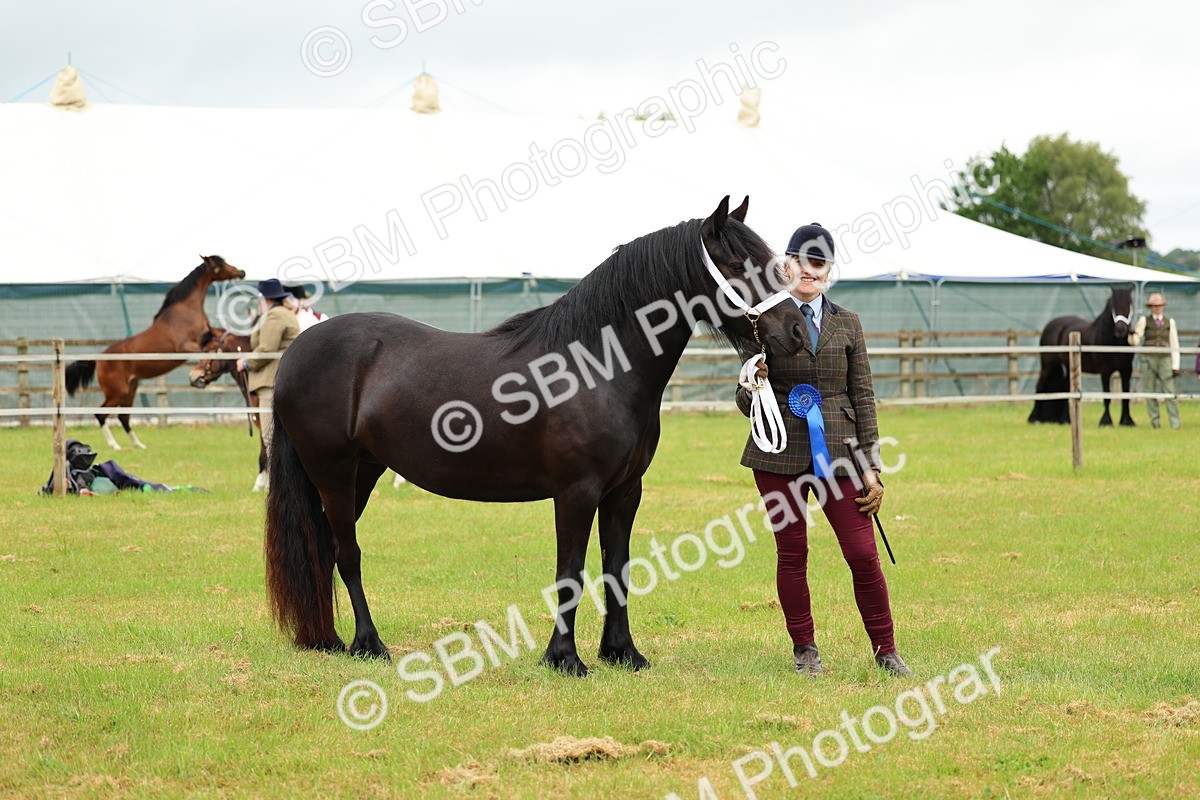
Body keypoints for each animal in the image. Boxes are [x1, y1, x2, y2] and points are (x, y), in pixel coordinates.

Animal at [64, 256, 246, 449]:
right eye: (219, 265)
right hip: (117, 392)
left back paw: (139, 445)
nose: (241, 272)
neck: (186, 310)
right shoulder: (185, 347)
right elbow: (207, 349)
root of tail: (98, 360)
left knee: (123, 417)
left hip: (130, 389)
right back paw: (115, 446)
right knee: (101, 414)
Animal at [263, 196, 807, 675]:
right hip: (333, 472)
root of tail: (298, 351)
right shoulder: (576, 493)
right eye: (736, 264)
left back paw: (329, 640)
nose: (799, 331)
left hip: (364, 472)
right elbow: (571, 572)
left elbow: (617, 568)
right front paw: (564, 659)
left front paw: (623, 654)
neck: (597, 367)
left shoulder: (624, 492)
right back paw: (368, 644)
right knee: (347, 553)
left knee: (325, 548)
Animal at [1028, 284, 1135, 427]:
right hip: (1048, 365)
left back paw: (1065, 420)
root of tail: (1050, 325)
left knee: (1066, 389)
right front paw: (1106, 421)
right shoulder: (1105, 371)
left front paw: (1127, 421)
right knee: (1040, 387)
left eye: (1130, 305)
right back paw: (1034, 418)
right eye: (1113, 307)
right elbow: (1106, 395)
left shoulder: (1127, 370)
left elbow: (1126, 396)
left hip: (1068, 366)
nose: (1121, 330)